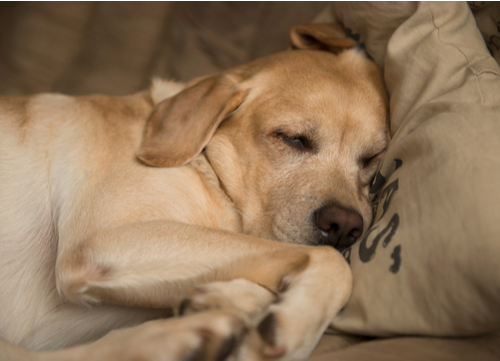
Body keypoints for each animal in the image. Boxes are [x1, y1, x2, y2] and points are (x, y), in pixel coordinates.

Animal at [0, 23, 388, 358]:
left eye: (372, 158)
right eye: (292, 138)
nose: (344, 226)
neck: (204, 165)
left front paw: (227, 298)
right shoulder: (103, 241)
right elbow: (331, 261)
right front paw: (294, 324)